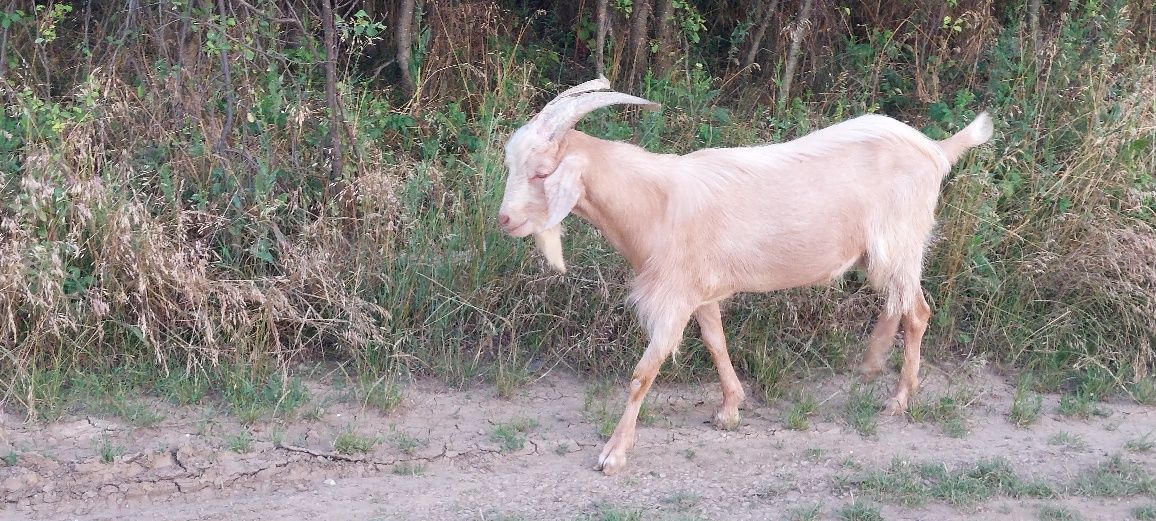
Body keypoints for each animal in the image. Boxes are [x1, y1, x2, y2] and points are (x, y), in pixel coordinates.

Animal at [497, 78, 994, 478]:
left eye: (542, 172)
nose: (504, 220)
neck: (655, 203)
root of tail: (936, 151)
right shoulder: (699, 291)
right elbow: (716, 342)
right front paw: (731, 409)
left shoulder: (673, 296)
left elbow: (643, 373)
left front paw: (614, 454)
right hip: (880, 253)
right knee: (897, 303)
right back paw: (871, 364)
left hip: (902, 241)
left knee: (918, 311)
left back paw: (899, 399)